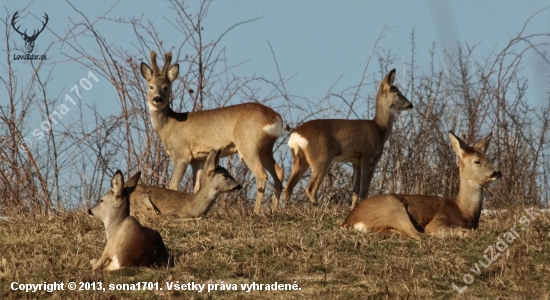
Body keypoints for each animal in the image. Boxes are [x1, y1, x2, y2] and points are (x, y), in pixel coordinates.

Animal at [284, 69, 414, 207]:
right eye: (398, 93)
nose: (410, 105)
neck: (380, 129)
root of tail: (295, 134)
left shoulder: (356, 161)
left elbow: (355, 192)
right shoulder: (369, 157)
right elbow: (363, 191)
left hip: (300, 158)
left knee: (288, 186)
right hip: (321, 157)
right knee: (310, 189)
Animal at [344, 131, 504, 239]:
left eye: (488, 158)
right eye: (477, 161)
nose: (497, 172)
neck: (464, 210)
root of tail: (350, 221)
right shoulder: (438, 220)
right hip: (393, 207)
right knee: (416, 234)